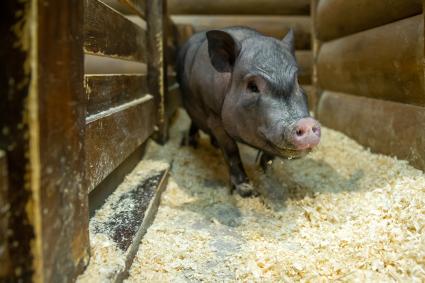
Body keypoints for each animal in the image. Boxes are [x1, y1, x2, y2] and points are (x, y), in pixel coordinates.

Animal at [177, 28, 320, 197]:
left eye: (298, 81)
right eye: (252, 86)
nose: (306, 122)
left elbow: (269, 156)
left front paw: (266, 174)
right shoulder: (214, 118)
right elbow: (232, 151)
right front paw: (247, 191)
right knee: (193, 125)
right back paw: (192, 145)